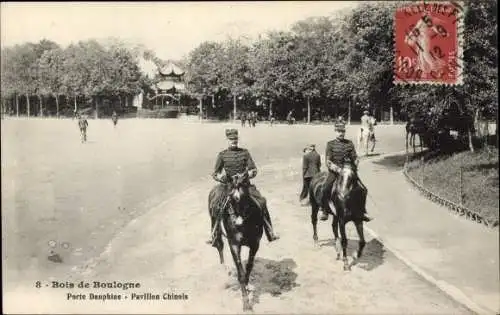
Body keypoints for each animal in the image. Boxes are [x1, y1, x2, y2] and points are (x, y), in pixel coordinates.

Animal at [207, 172, 264, 312]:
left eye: (245, 197)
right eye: (231, 199)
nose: (237, 222)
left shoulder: (255, 244)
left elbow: (249, 266)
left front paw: (248, 285)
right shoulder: (234, 245)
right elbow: (241, 274)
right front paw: (246, 304)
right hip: (216, 229)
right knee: (219, 246)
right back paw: (224, 268)